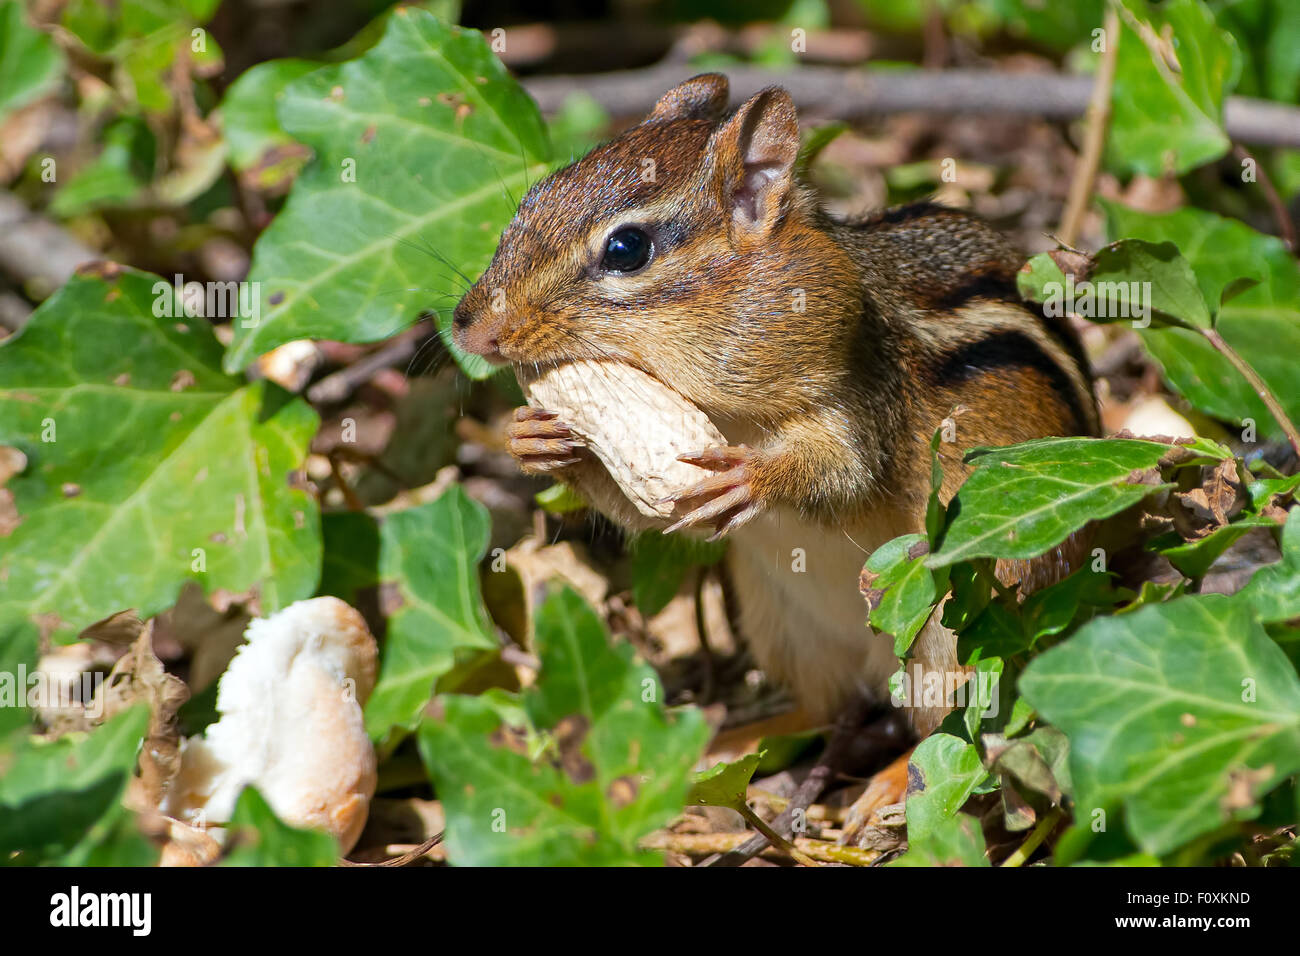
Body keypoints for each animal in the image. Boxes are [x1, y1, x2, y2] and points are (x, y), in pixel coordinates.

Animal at [452, 73, 1099, 835]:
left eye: (626, 249)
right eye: (531, 198)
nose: (470, 326)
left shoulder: (857, 393)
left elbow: (847, 473)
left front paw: (753, 477)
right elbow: (646, 511)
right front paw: (531, 437)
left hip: (953, 629)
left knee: (951, 729)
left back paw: (888, 786)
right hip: (782, 623)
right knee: (822, 707)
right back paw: (722, 740)